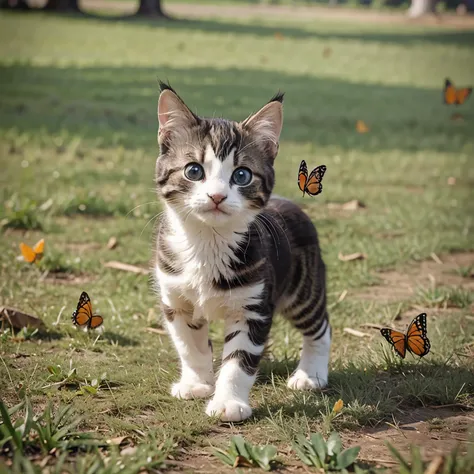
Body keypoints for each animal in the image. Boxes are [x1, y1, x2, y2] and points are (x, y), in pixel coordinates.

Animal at [154, 82, 332, 422]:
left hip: (303, 287)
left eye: (241, 175)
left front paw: (228, 402)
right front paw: (197, 383)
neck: (208, 243)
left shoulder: (253, 307)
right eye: (193, 171)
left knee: (320, 325)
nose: (217, 196)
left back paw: (311, 374)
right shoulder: (175, 299)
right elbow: (189, 346)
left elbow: (239, 360)